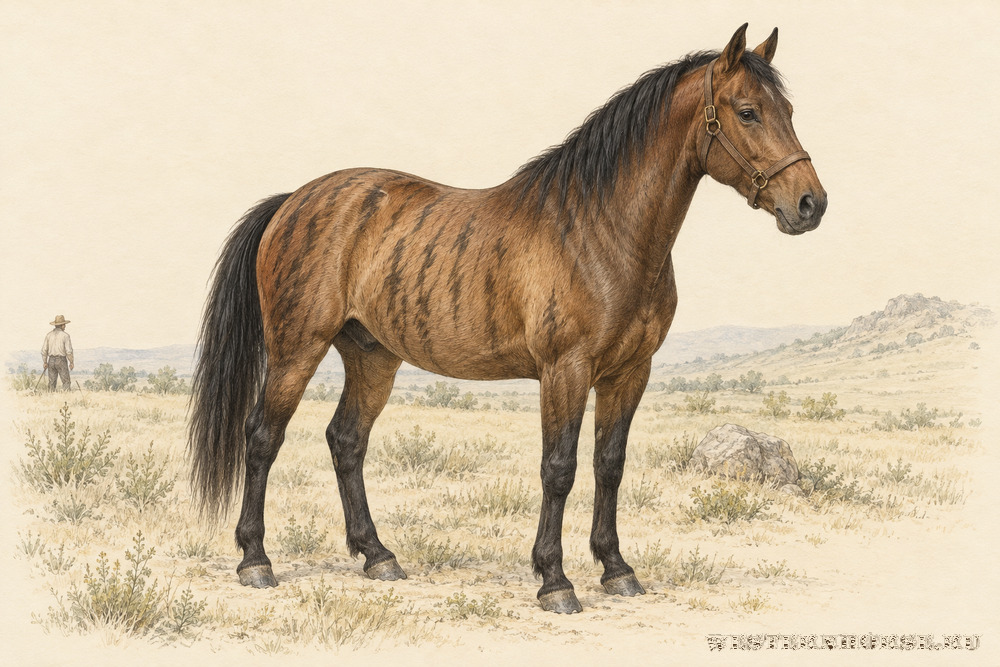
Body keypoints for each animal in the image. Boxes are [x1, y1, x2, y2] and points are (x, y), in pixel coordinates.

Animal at [189, 24, 826, 614]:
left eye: (789, 111)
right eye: (747, 111)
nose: (810, 205)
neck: (600, 228)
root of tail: (293, 201)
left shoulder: (629, 373)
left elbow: (610, 465)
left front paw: (617, 569)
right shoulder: (565, 371)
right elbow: (559, 468)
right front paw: (555, 581)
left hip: (372, 357)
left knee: (346, 441)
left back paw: (378, 556)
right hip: (297, 349)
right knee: (263, 437)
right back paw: (255, 561)